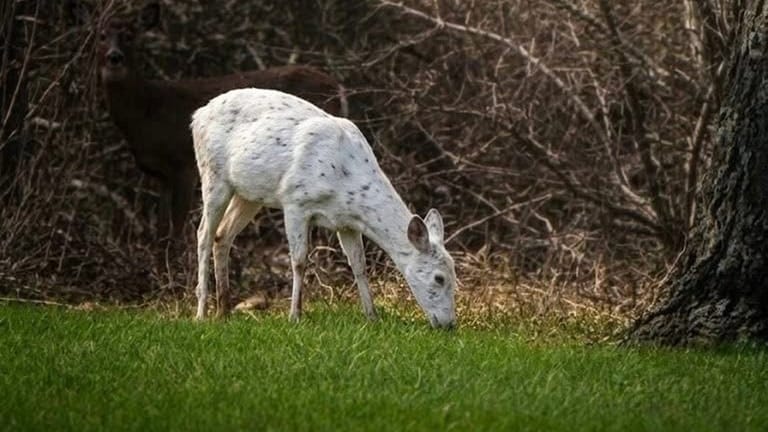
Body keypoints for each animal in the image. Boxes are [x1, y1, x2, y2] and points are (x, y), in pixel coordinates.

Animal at [95, 2, 347, 236]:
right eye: (102, 36)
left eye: (129, 36)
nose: (114, 57)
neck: (149, 111)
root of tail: (337, 87)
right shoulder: (162, 176)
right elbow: (161, 230)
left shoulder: (184, 165)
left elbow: (177, 231)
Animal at [191, 89, 457, 329]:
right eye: (439, 278)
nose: (449, 324)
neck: (344, 184)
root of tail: (197, 116)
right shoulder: (294, 201)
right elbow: (299, 260)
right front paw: (295, 315)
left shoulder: (346, 224)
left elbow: (359, 265)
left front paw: (372, 316)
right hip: (213, 174)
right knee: (204, 233)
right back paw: (202, 312)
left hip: (249, 194)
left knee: (222, 234)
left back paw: (224, 311)